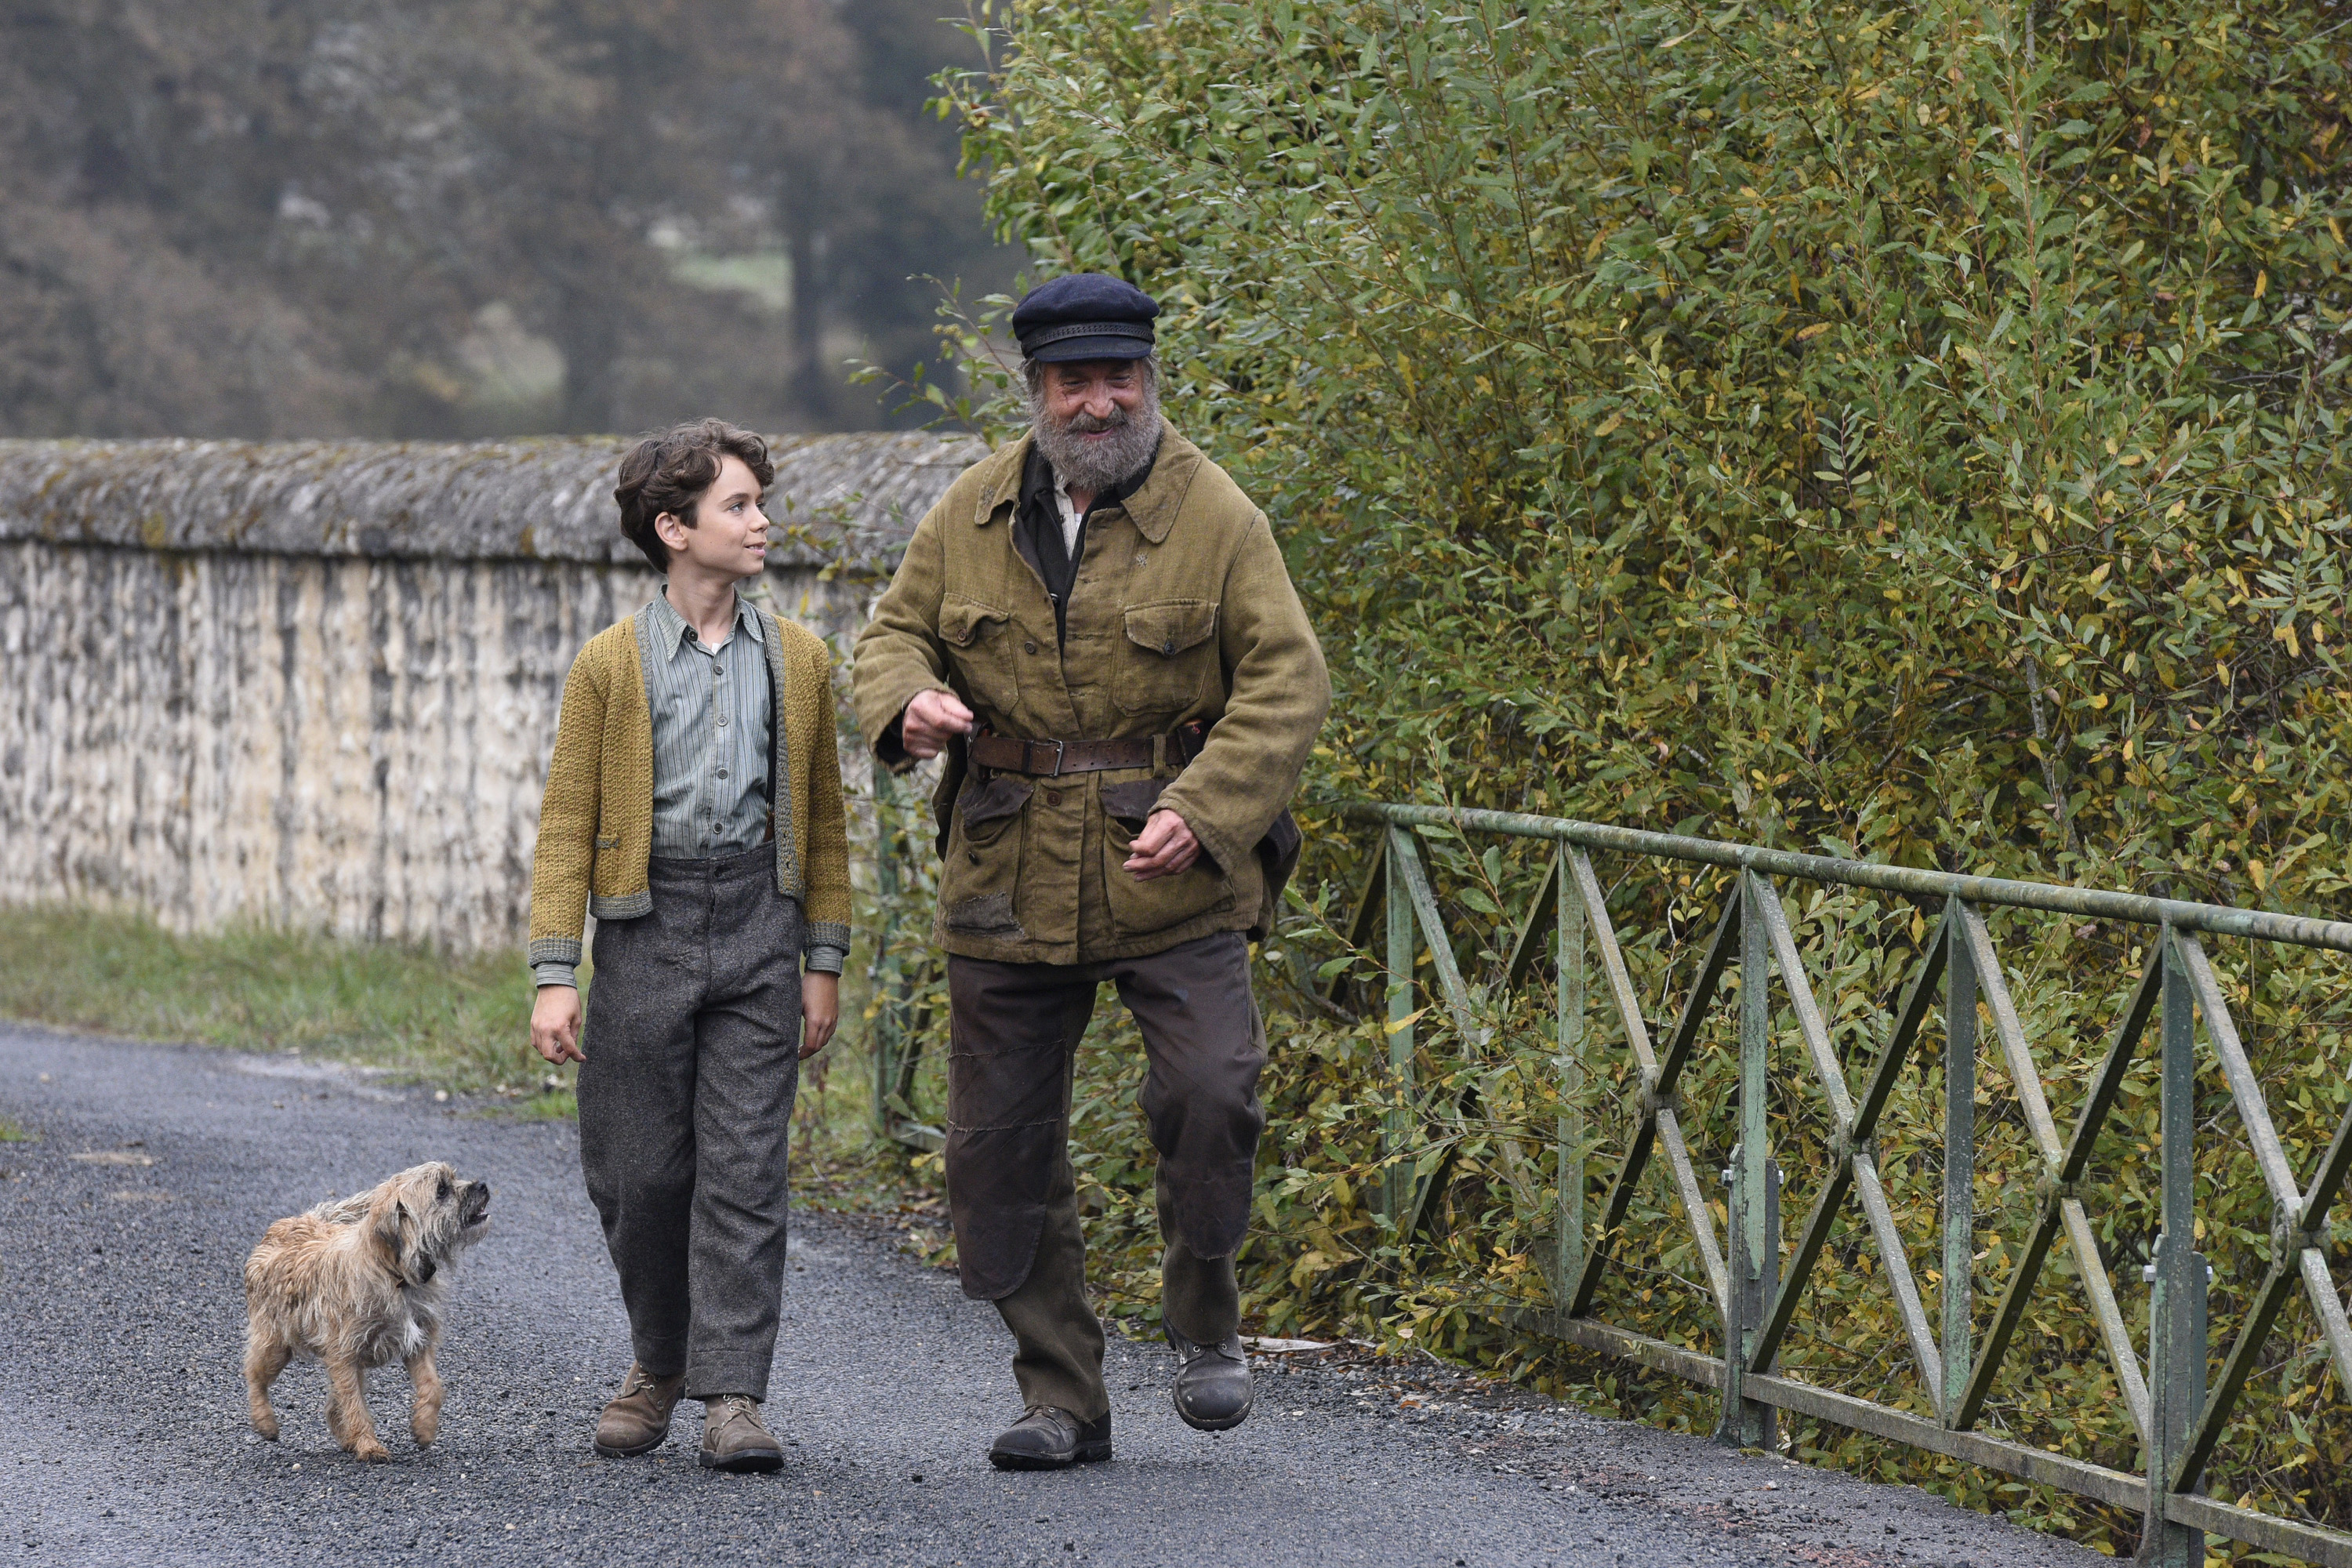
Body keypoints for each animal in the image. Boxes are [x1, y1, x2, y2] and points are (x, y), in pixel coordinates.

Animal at [243, 1161, 492, 1467]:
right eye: (442, 1190)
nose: (483, 1186)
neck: (394, 1271)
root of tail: (290, 1223)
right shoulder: (344, 1355)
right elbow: (355, 1405)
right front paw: (369, 1446)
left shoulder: (418, 1343)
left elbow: (432, 1386)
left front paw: (424, 1427)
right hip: (276, 1343)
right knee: (255, 1374)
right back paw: (264, 1421)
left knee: (332, 1404)